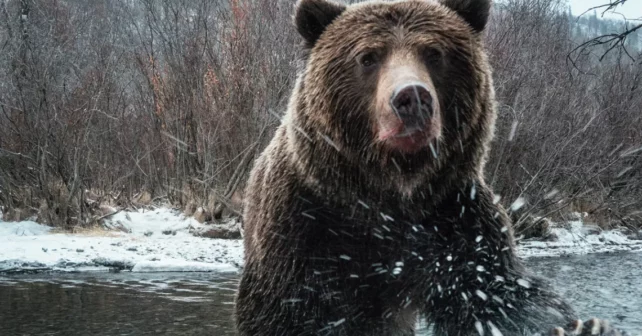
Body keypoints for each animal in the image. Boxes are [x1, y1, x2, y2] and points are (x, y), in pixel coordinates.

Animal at [232, 0, 624, 336]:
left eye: (434, 53)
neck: (390, 193)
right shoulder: (307, 227)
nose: (412, 97)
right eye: (368, 56)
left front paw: (584, 326)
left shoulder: (456, 221)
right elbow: (292, 309)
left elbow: (497, 295)